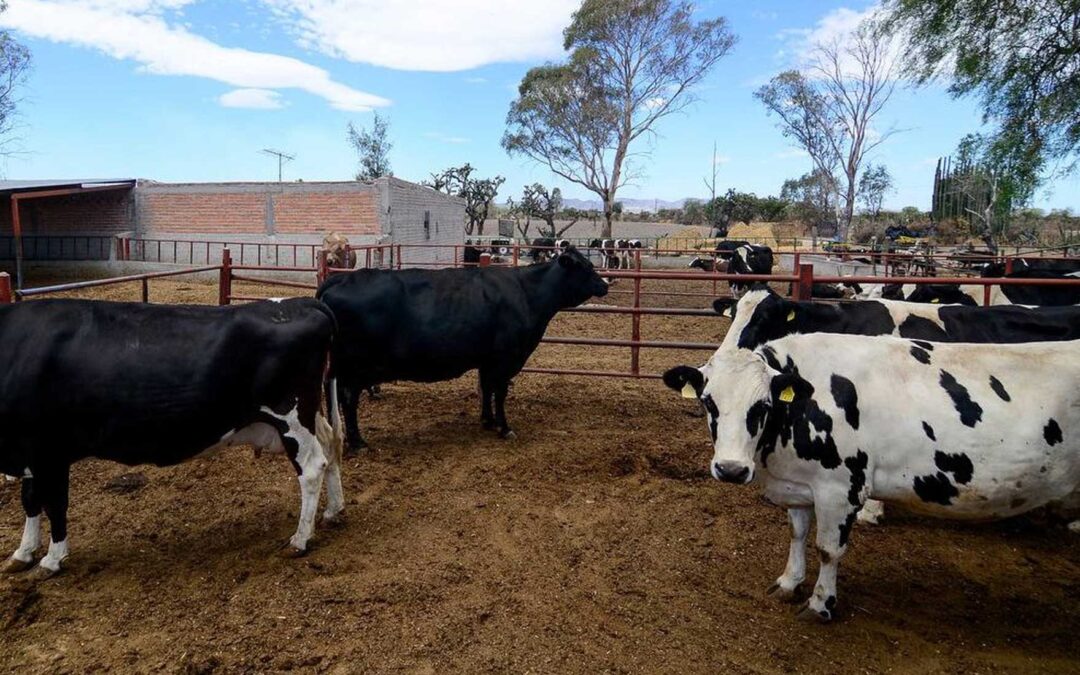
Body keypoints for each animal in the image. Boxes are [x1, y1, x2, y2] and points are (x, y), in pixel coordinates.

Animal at [0, 298, 343, 574]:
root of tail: (300, 302)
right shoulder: (28, 451)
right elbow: (30, 499)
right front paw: (23, 552)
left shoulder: (49, 451)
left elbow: (54, 503)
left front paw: (52, 559)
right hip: (308, 416)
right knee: (330, 446)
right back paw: (333, 511)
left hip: (291, 416)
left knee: (312, 467)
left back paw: (300, 540)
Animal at [317, 245, 609, 449]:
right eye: (584, 267)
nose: (605, 284)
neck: (527, 293)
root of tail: (340, 280)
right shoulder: (505, 358)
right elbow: (500, 392)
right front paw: (504, 427)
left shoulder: (488, 359)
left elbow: (487, 388)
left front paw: (487, 421)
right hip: (355, 367)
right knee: (348, 398)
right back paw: (358, 442)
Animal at [665, 332, 1080, 622]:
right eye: (708, 402)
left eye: (762, 405)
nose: (731, 469)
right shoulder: (800, 484)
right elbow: (797, 534)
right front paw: (788, 582)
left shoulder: (839, 489)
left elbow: (828, 549)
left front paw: (820, 604)